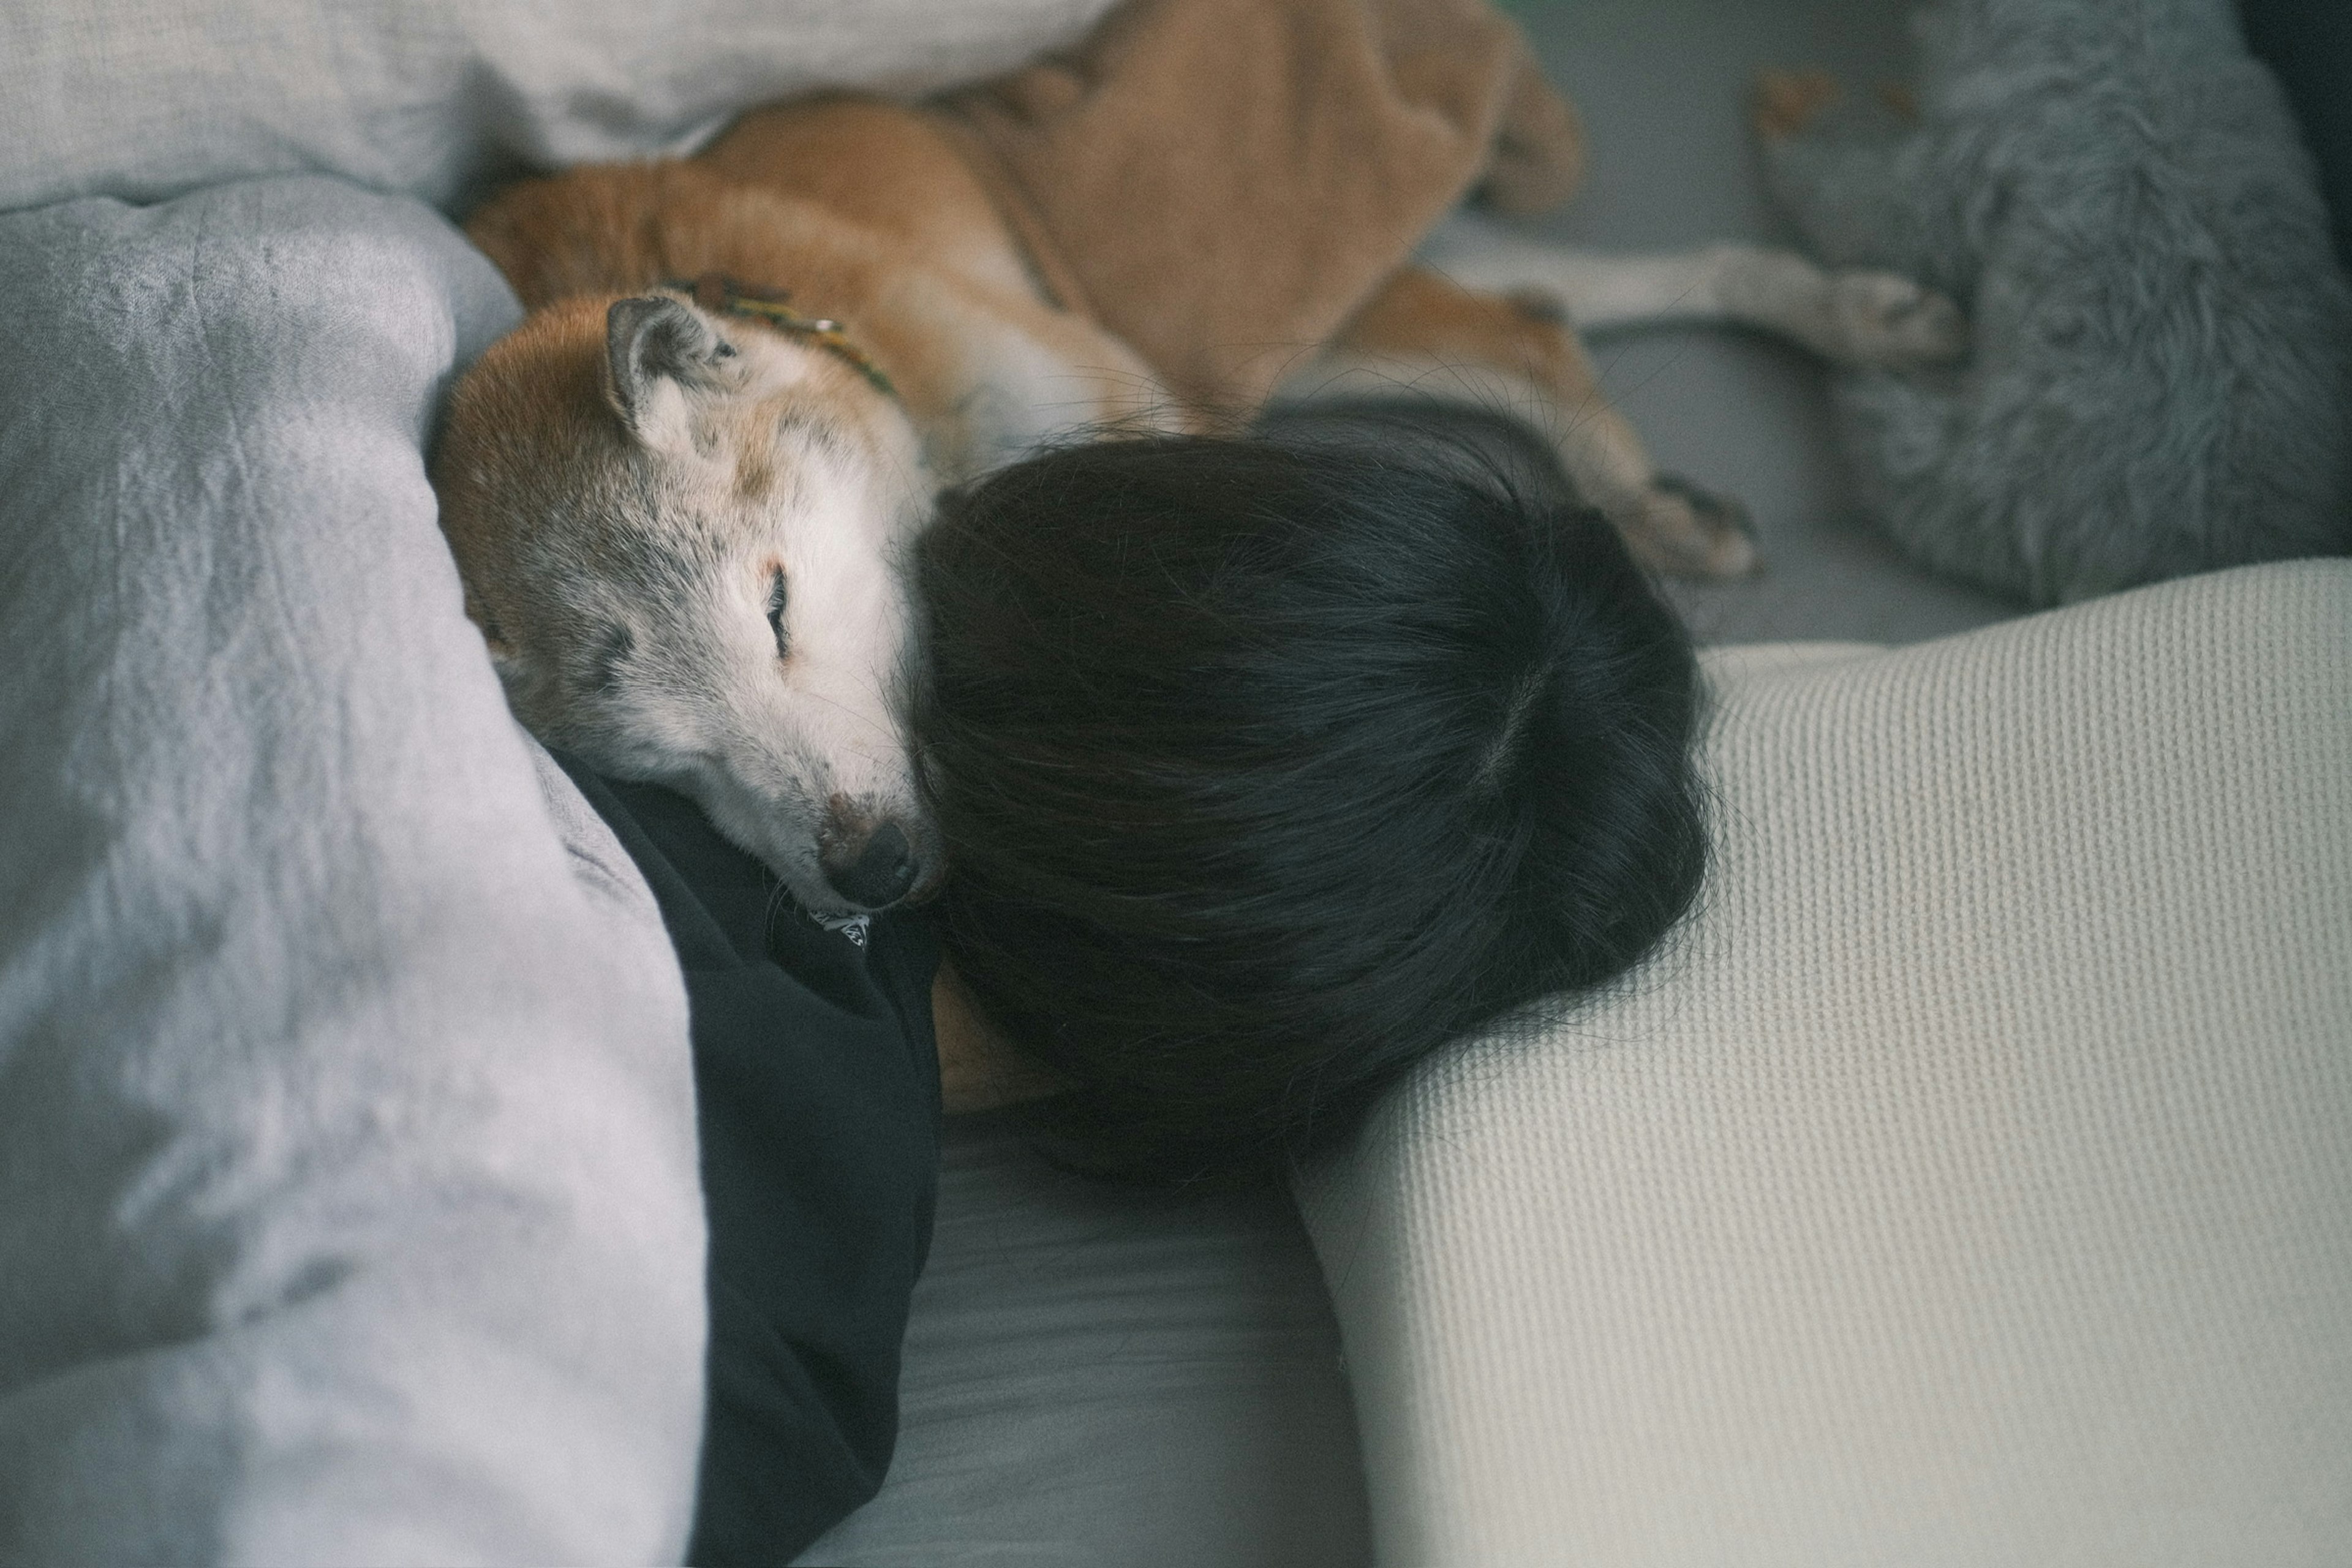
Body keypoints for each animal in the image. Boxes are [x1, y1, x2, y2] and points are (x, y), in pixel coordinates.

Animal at [428, 0, 1966, 921]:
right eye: (662, 762)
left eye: (777, 607)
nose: (869, 864)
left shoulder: (1127, 410)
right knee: (1553, 310)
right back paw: (1839, 334)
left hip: (1257, 331)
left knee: (1524, 338)